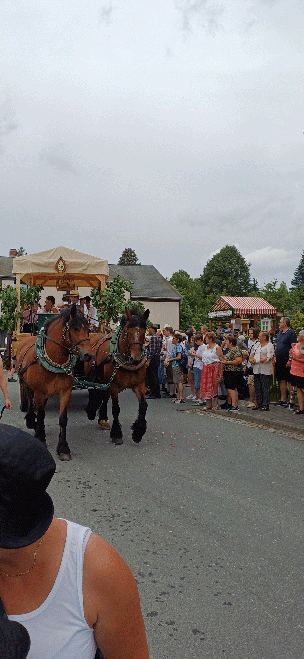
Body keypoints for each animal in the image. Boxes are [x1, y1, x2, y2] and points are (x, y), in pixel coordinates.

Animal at [15, 304, 91, 458]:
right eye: (75, 328)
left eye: (88, 329)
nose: (88, 354)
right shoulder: (39, 392)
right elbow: (41, 414)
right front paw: (40, 437)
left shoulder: (65, 392)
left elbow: (63, 419)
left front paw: (63, 448)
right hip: (25, 383)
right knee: (30, 399)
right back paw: (31, 420)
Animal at [85, 308, 150, 444]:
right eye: (128, 332)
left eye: (144, 331)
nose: (136, 359)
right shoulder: (114, 385)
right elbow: (116, 409)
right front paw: (116, 434)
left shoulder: (139, 384)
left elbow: (143, 406)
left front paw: (138, 432)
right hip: (92, 376)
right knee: (92, 391)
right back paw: (91, 411)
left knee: (104, 397)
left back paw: (103, 419)